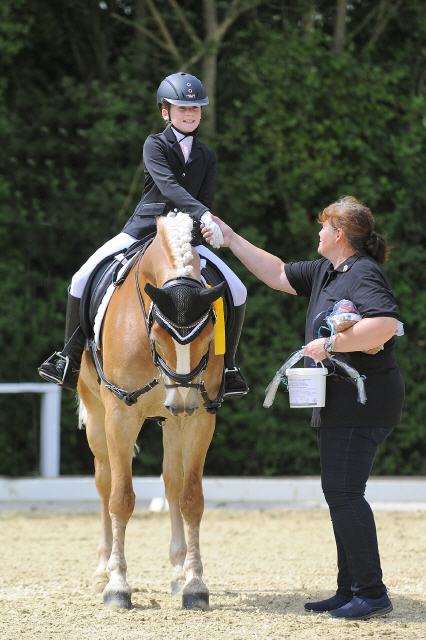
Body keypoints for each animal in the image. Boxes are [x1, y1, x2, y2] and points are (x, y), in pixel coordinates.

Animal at [79, 211, 226, 608]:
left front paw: (194, 584)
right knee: (104, 482)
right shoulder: (120, 415)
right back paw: (101, 569)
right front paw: (117, 586)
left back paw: (177, 572)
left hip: (174, 422)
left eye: (209, 338)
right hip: (97, 416)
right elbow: (121, 498)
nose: (181, 403)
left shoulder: (200, 418)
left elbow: (191, 497)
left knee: (172, 483)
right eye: (158, 335)